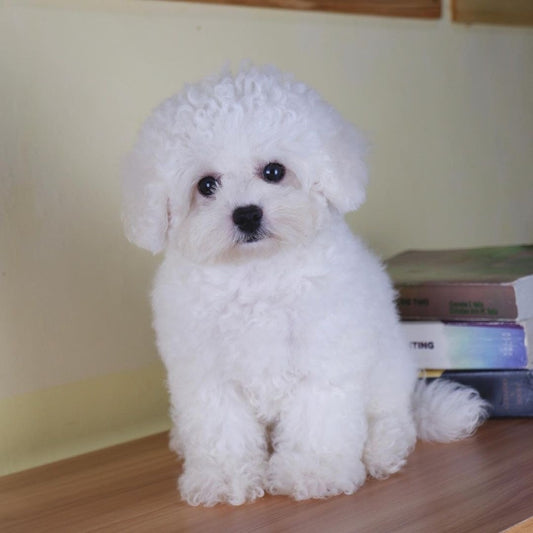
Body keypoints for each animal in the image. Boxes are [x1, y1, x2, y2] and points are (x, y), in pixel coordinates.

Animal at [122, 64, 488, 504]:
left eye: (274, 171)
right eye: (206, 185)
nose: (247, 214)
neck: (256, 272)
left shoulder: (323, 357)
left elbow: (319, 420)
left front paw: (313, 473)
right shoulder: (206, 372)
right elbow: (221, 429)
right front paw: (225, 479)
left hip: (388, 369)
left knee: (395, 418)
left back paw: (382, 451)